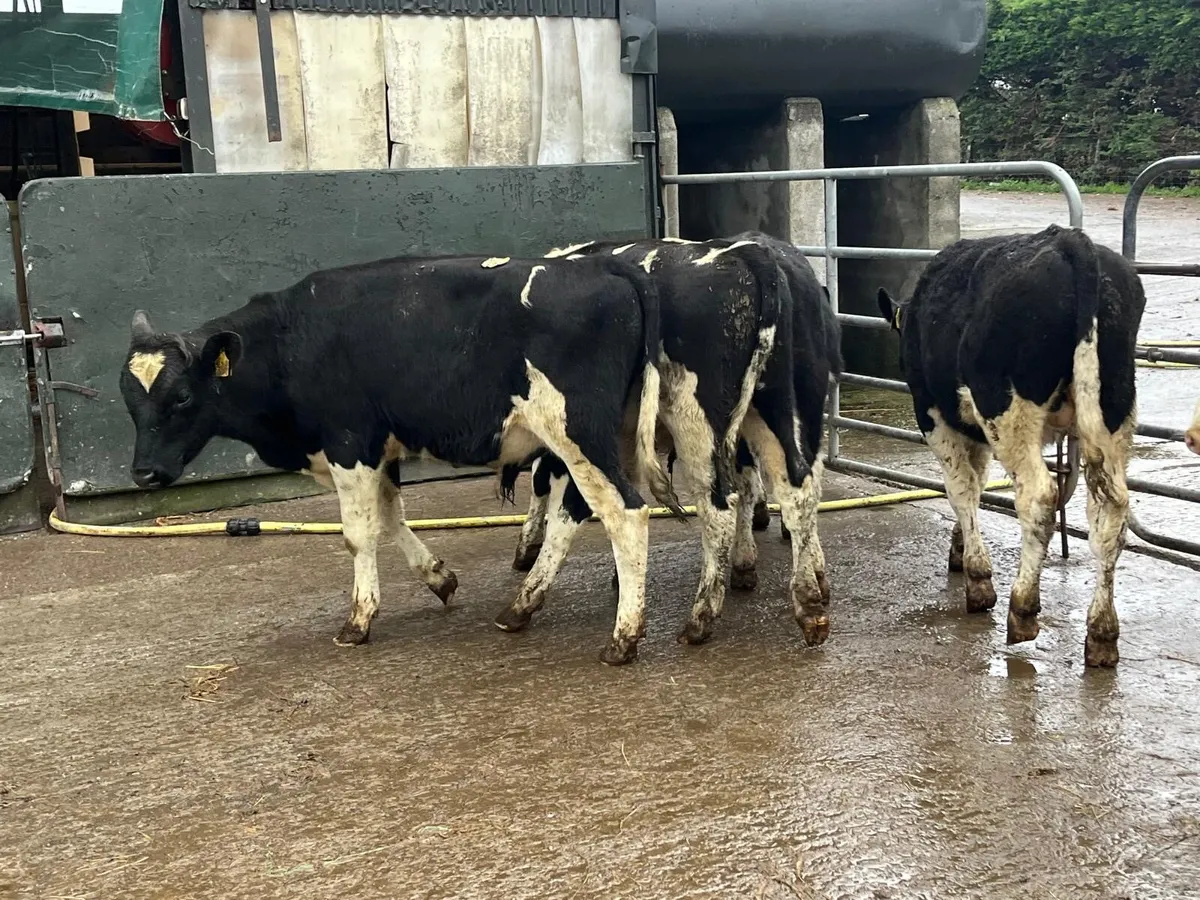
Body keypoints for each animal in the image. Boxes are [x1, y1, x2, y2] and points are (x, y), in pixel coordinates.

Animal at [119, 252, 685, 666]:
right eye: (129, 398)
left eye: (182, 398)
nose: (144, 473)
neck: (289, 341)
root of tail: (603, 265)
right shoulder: (378, 447)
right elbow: (390, 517)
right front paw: (439, 578)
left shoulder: (349, 444)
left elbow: (358, 533)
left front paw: (358, 621)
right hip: (600, 437)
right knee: (574, 513)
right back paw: (521, 607)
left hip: (577, 431)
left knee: (624, 512)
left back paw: (623, 638)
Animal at [501, 232, 841, 647]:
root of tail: (749, 252)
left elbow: (555, 489)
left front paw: (529, 550)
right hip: (788, 406)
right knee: (799, 488)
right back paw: (810, 592)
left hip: (699, 419)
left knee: (722, 502)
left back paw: (703, 615)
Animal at [877, 224, 1146, 667]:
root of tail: (1069, 240)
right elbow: (976, 481)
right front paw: (960, 548)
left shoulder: (934, 415)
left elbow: (962, 488)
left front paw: (977, 576)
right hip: (1114, 410)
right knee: (1110, 512)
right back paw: (1102, 634)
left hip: (1006, 409)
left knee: (1038, 497)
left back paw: (1022, 610)